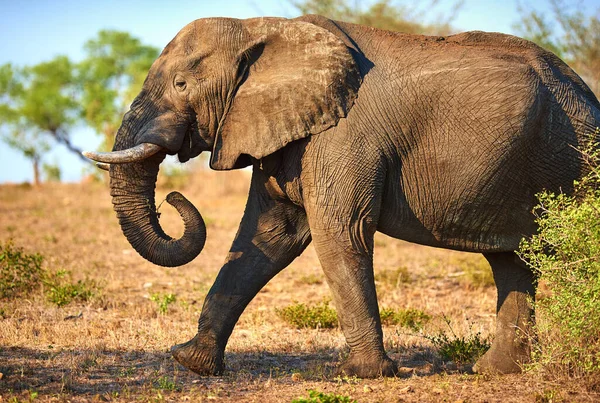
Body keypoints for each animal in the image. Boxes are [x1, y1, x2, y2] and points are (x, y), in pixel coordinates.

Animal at [83, 13, 600, 378]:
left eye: (181, 84)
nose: (173, 198)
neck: (262, 28)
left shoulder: (343, 135)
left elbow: (338, 232)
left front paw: (364, 375)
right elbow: (268, 236)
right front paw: (190, 362)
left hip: (573, 156)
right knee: (514, 261)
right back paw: (495, 372)